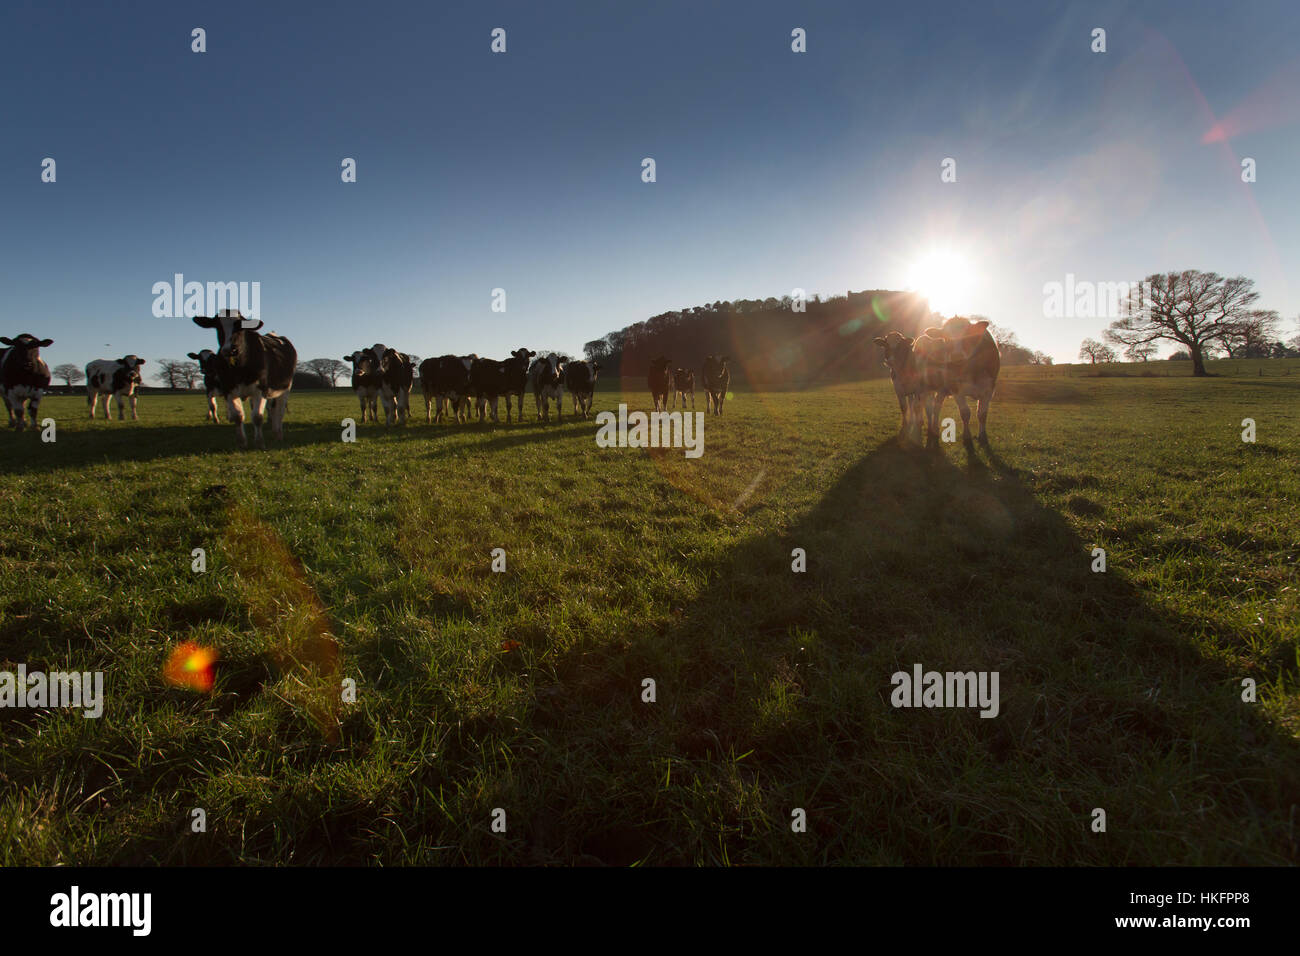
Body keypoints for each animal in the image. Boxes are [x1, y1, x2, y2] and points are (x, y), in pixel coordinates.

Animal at [191, 312, 296, 450]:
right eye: (218, 326)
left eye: (240, 326)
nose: (229, 349)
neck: (240, 366)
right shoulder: (227, 390)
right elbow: (237, 415)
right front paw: (241, 442)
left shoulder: (261, 389)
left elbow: (257, 417)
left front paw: (259, 443)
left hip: (284, 389)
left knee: (278, 411)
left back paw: (278, 433)